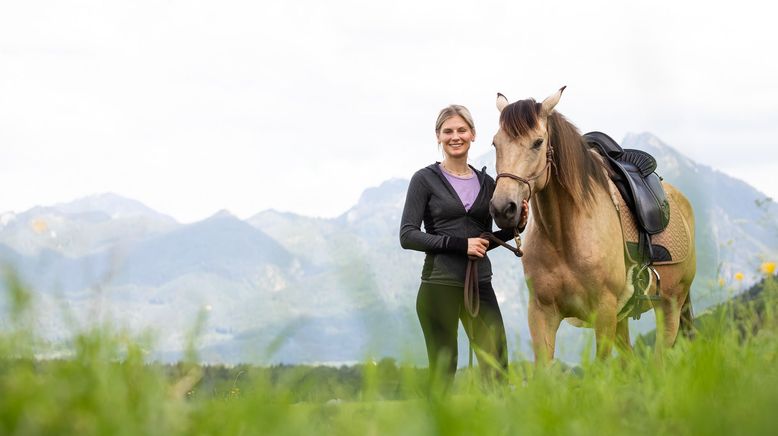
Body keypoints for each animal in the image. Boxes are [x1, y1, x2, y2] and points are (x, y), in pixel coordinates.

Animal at [488, 87, 696, 362]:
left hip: (669, 307)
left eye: (538, 142)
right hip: (624, 317)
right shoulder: (541, 314)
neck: (563, 239)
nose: (503, 208)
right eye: (495, 143)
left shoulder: (604, 312)